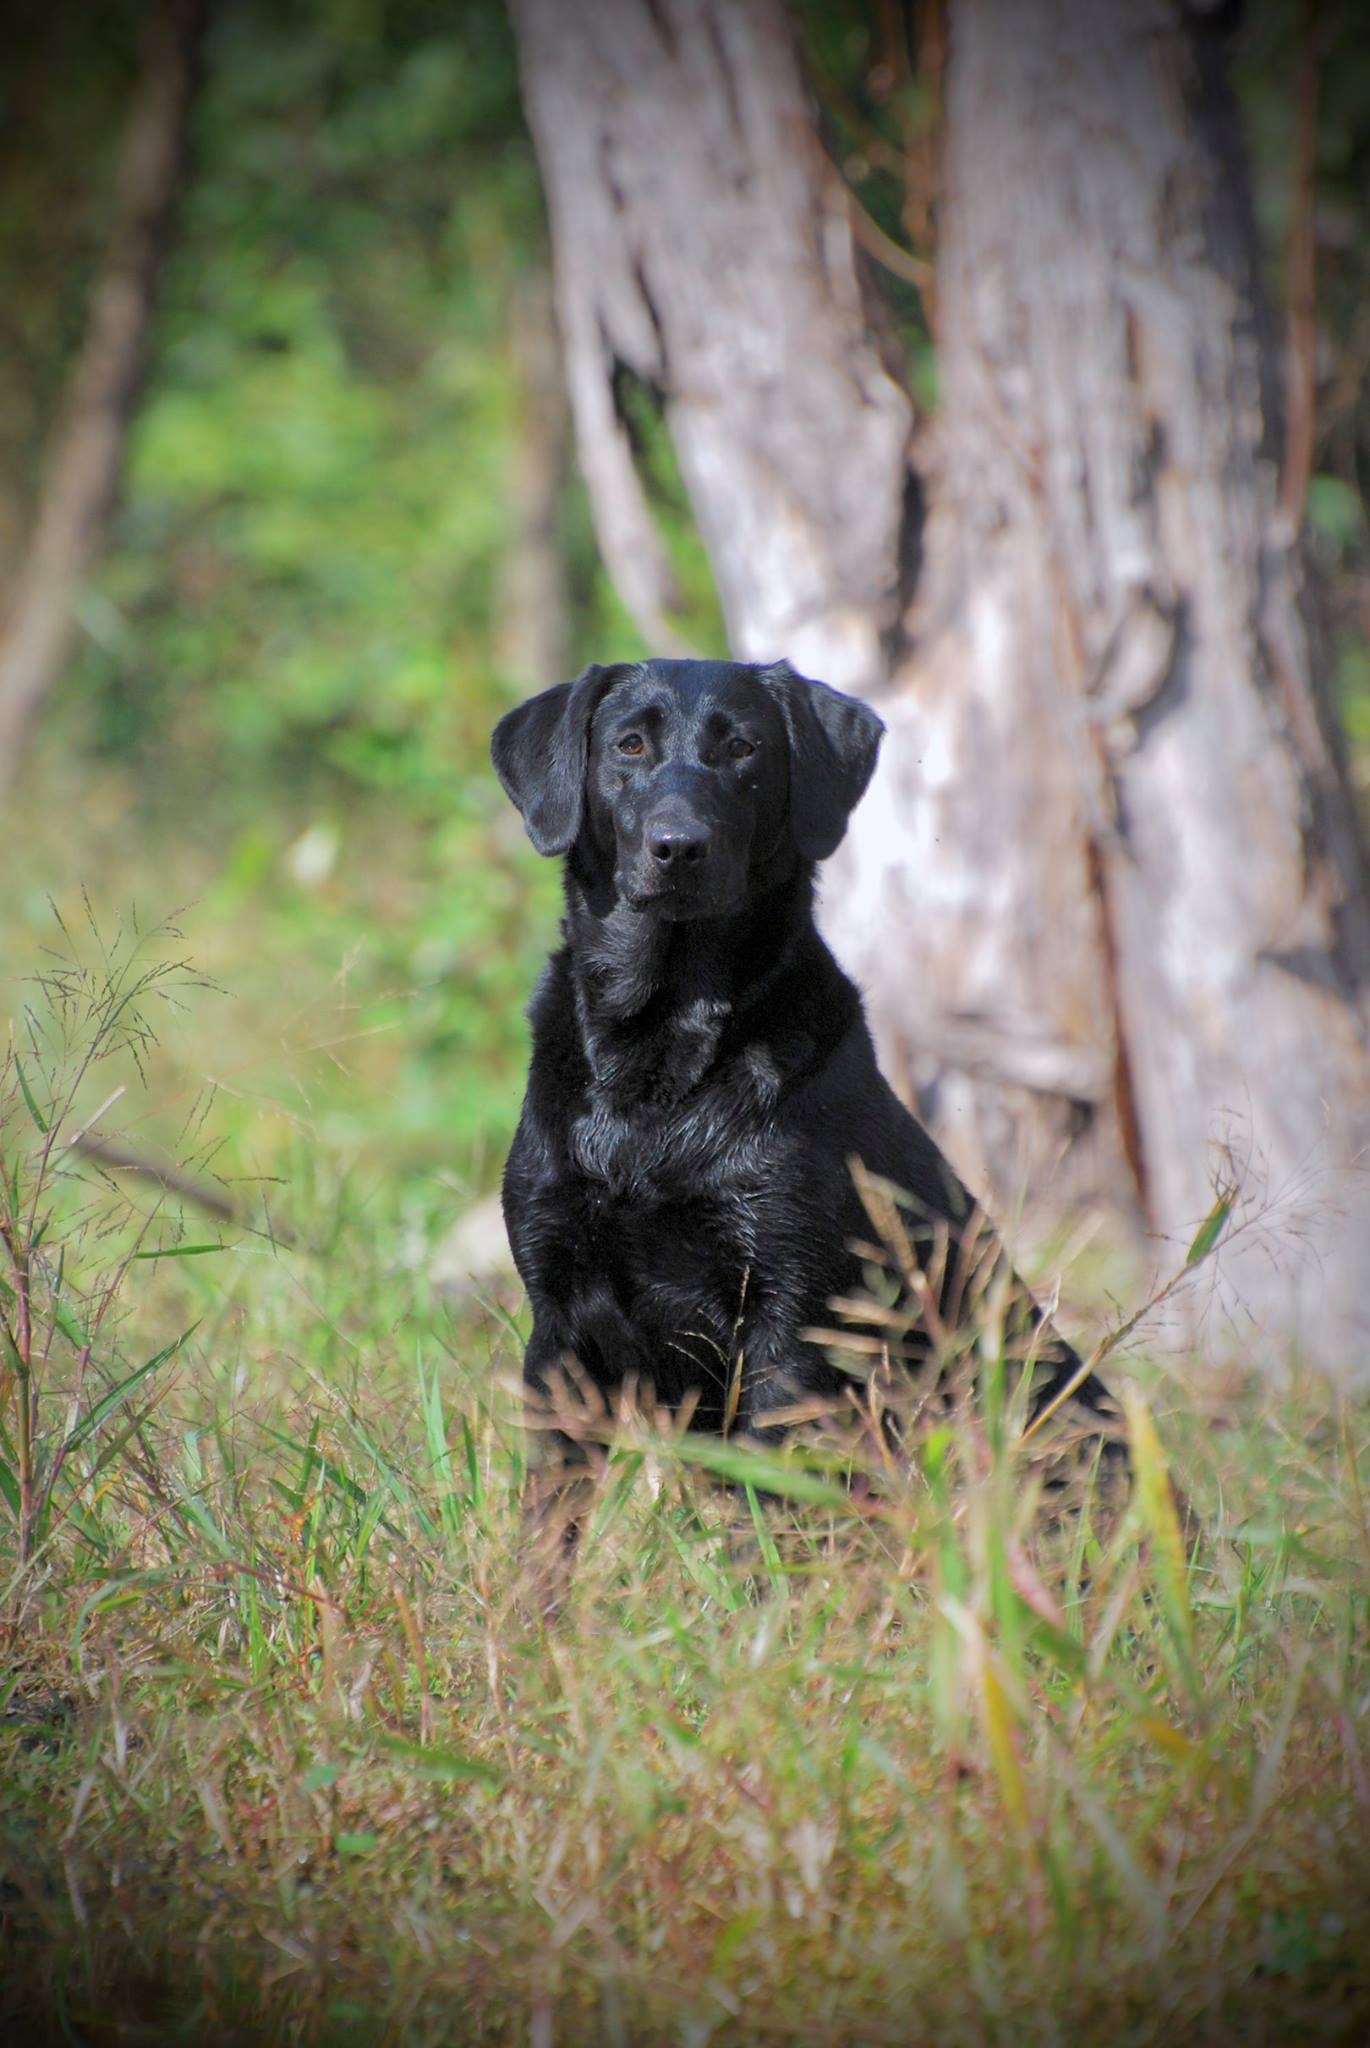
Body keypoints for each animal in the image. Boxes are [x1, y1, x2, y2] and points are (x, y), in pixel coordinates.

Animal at [497, 655, 1114, 1564]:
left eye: (744, 748)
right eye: (629, 744)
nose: (679, 847)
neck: (660, 1052)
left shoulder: (792, 1317)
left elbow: (769, 1512)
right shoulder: (561, 1325)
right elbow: (547, 1529)